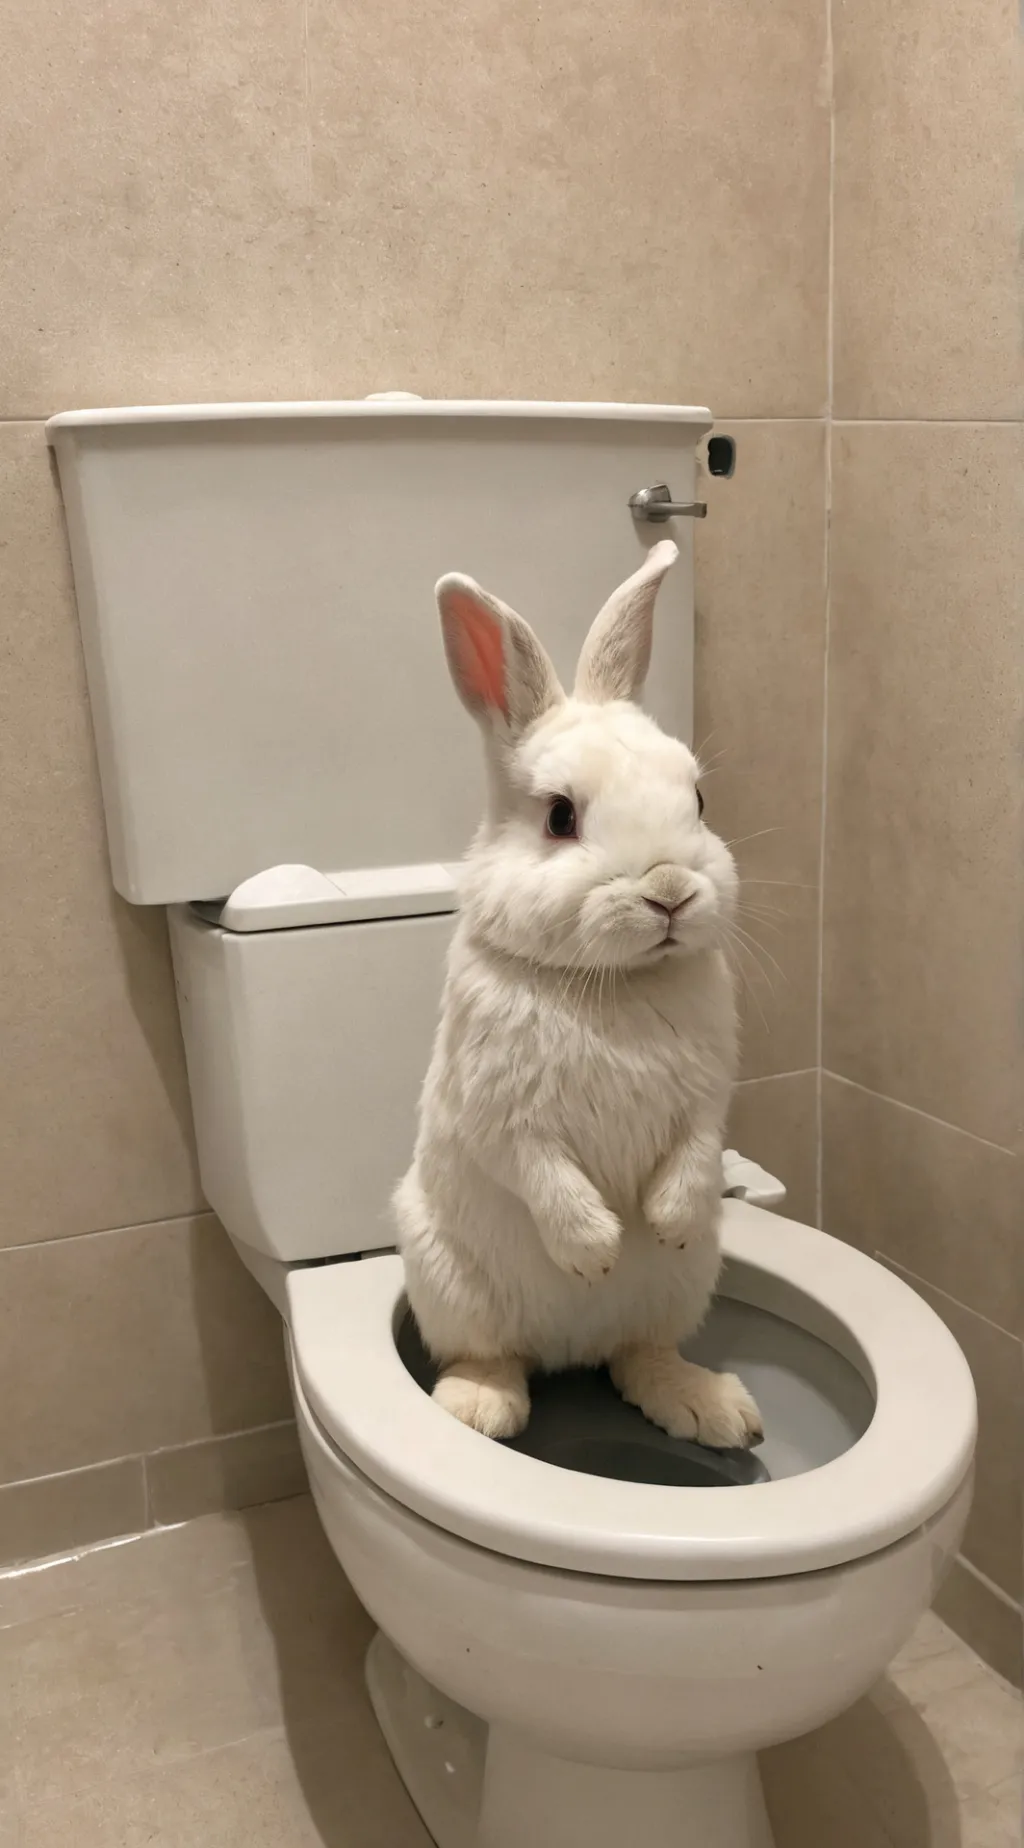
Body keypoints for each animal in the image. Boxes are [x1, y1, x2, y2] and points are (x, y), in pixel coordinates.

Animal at [394, 538, 762, 1453]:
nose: (670, 893)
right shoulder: (501, 1112)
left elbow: (696, 1149)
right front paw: (595, 1250)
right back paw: (480, 1407)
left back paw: (710, 1406)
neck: (615, 984)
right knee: (492, 1354)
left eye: (698, 799)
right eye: (560, 817)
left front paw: (661, 1222)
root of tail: (567, 1349)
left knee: (637, 1355)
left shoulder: (708, 1097)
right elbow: (542, 1173)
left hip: (684, 1287)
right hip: (445, 1274)